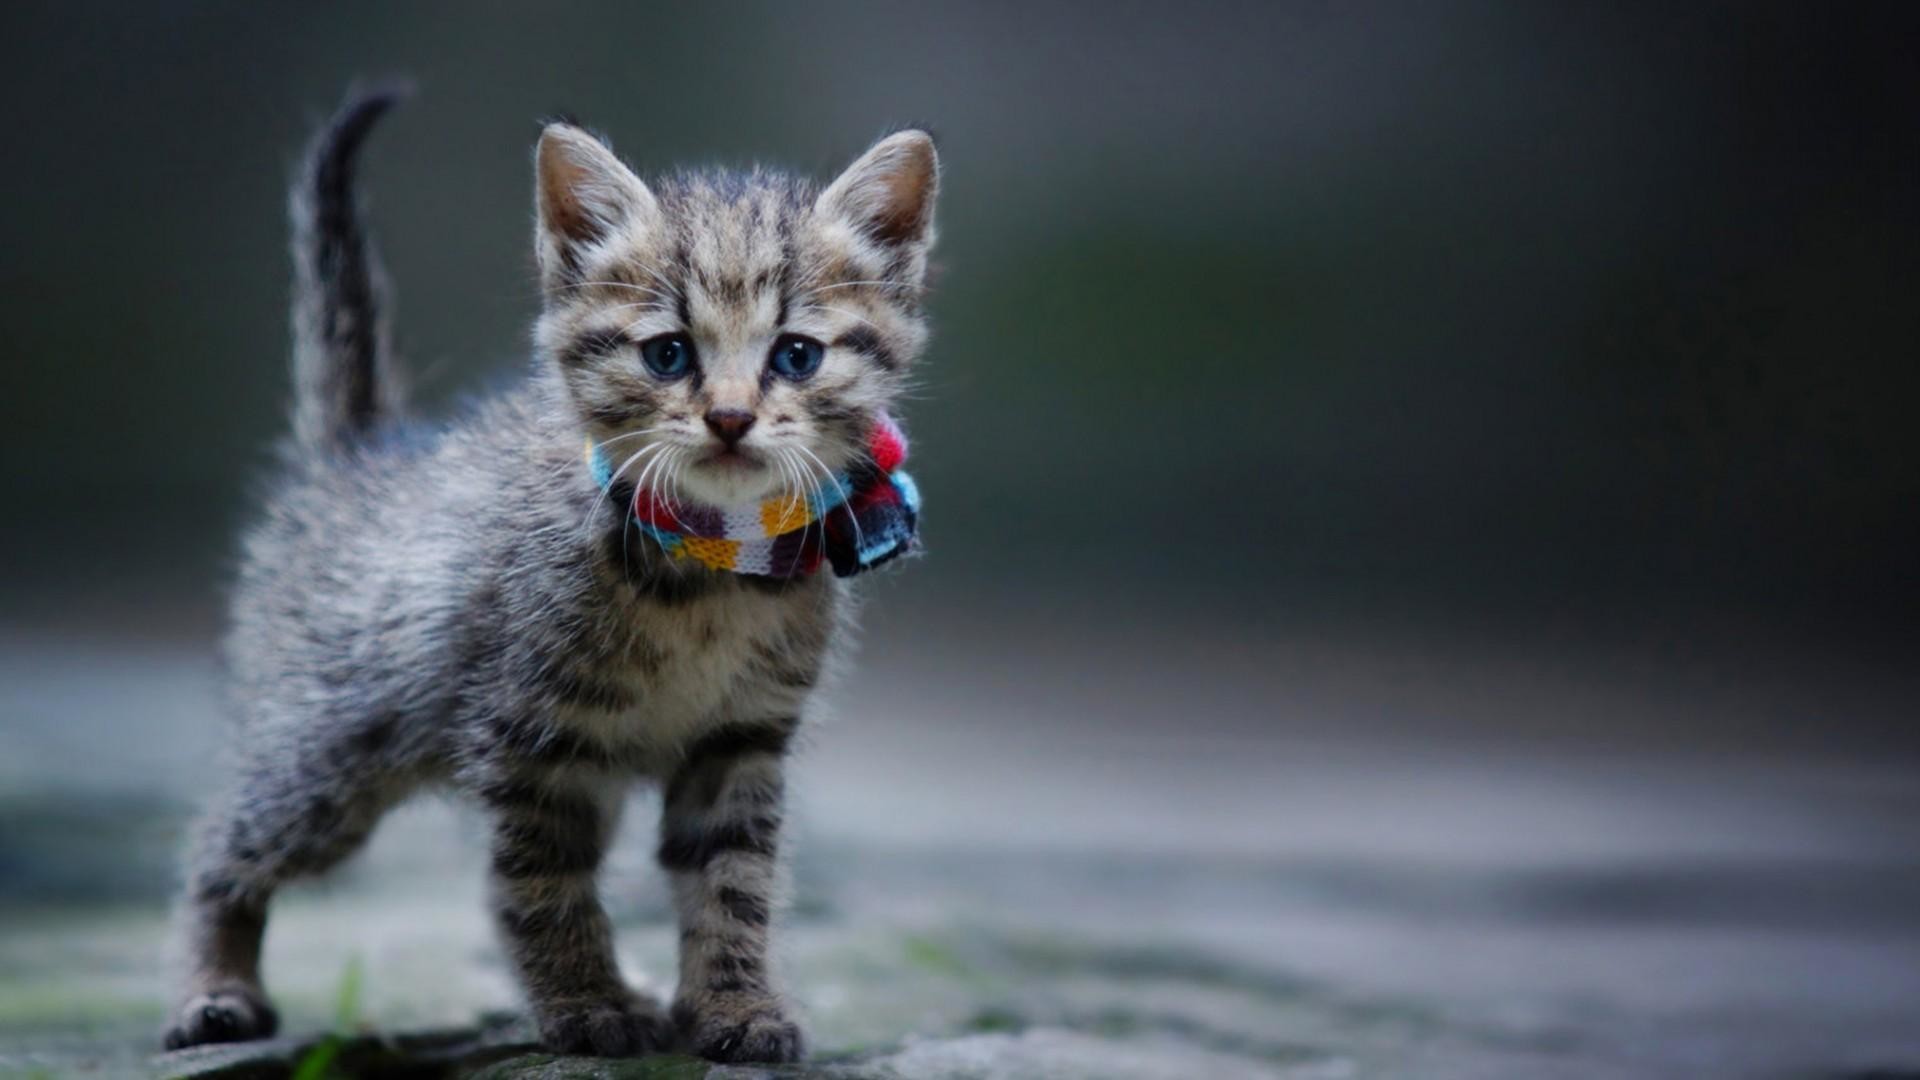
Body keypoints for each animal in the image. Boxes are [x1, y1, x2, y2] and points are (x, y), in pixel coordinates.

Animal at [163, 90, 936, 1060]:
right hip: (327, 752)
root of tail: (356, 456)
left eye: (796, 354)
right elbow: (543, 885)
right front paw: (585, 1005)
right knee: (221, 844)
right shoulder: (529, 739)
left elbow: (732, 883)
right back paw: (213, 991)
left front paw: (735, 1007)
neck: (712, 566)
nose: (728, 419)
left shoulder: (741, 740)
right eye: (668, 354)